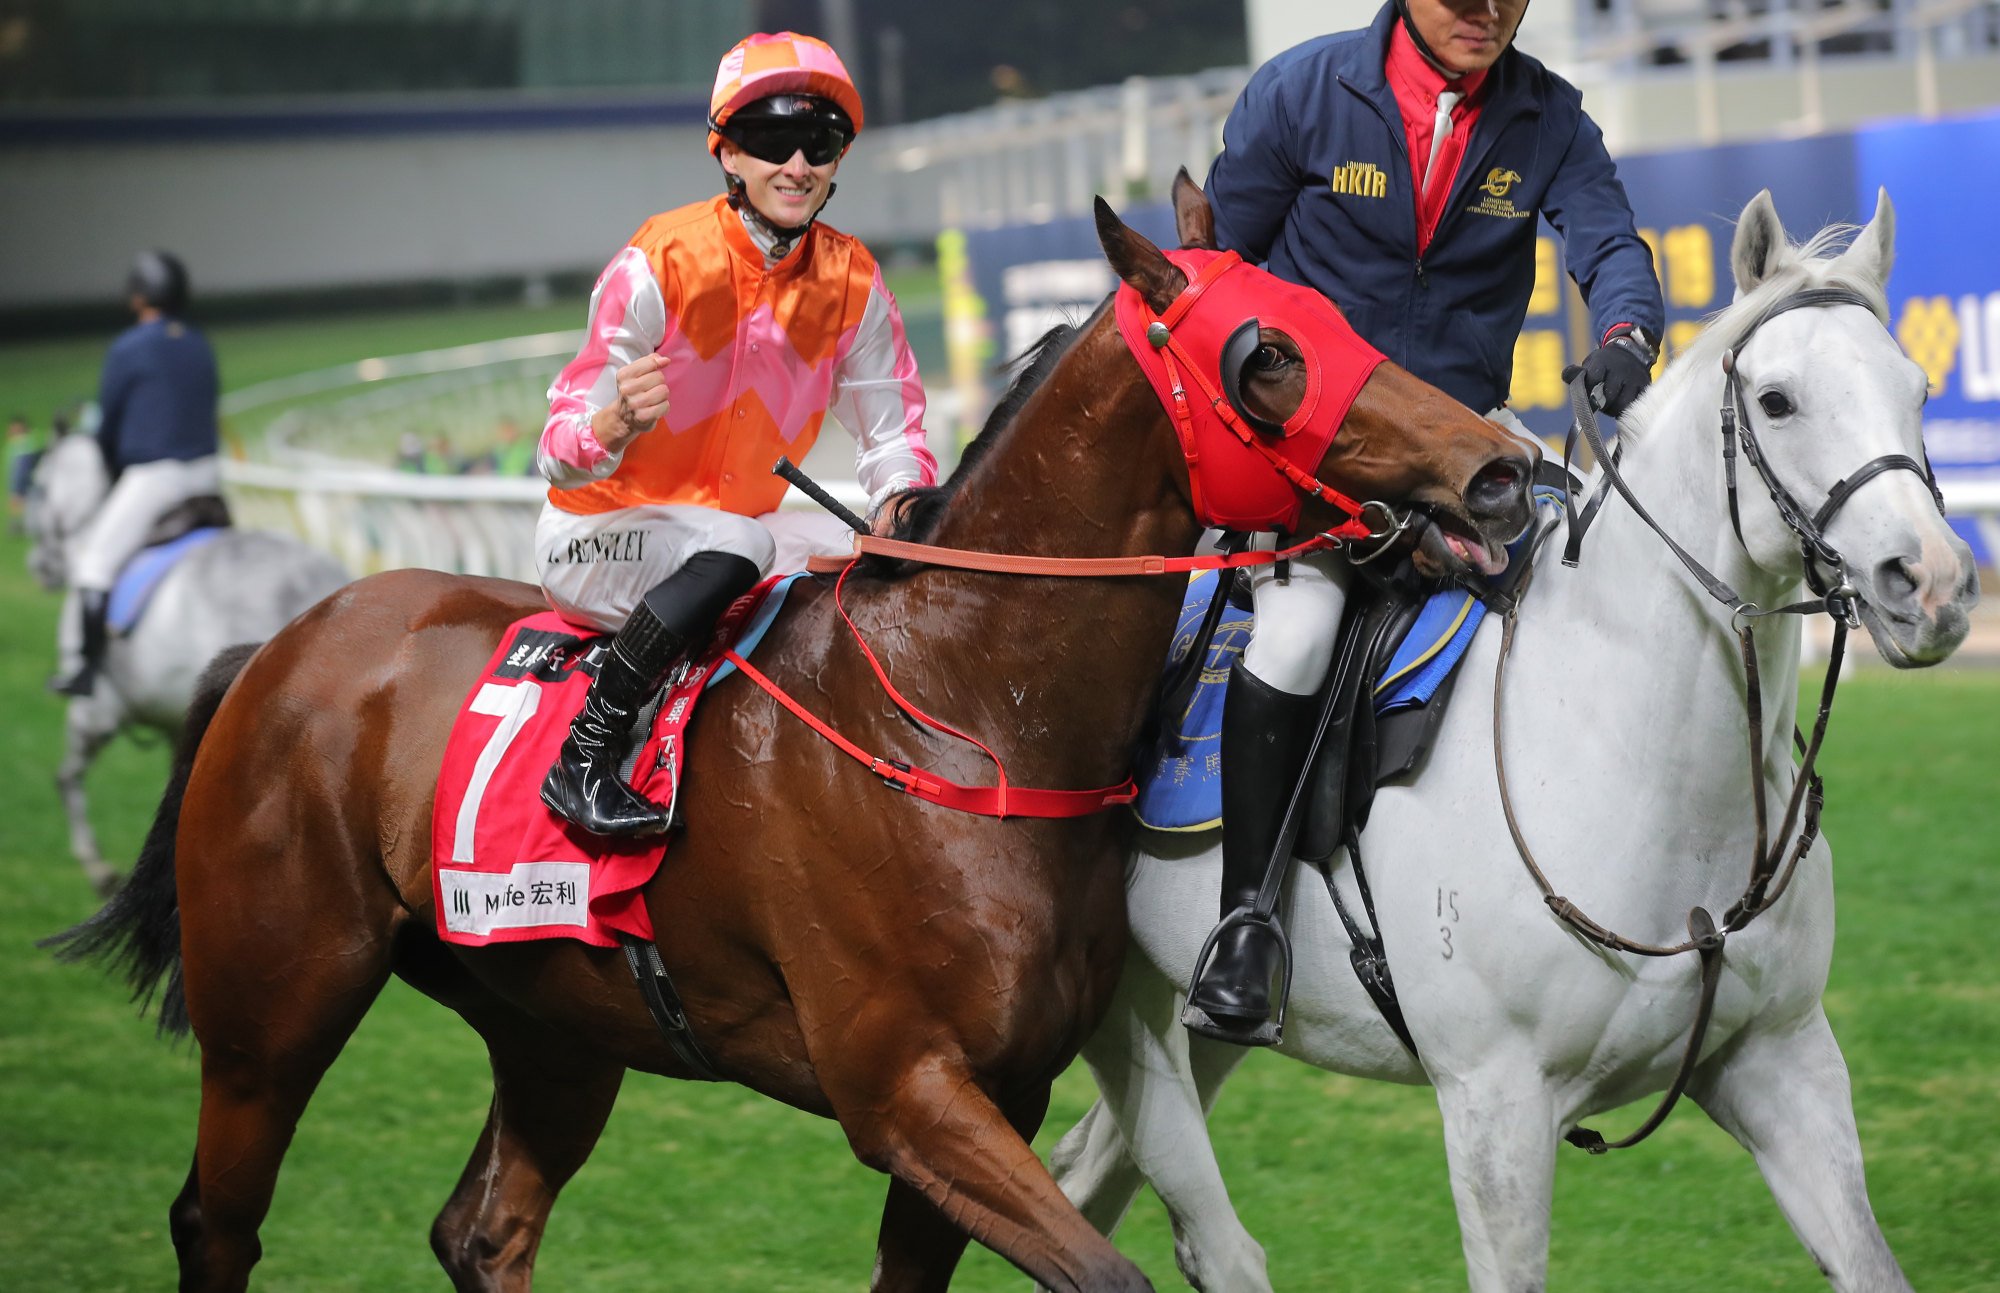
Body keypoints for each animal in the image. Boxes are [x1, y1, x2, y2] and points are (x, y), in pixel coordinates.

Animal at [58, 180, 1528, 1293]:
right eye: (1267, 356)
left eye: (1335, 318)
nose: (1498, 471)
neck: (968, 716)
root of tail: (287, 641)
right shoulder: (905, 1091)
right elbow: (1104, 1273)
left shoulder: (999, 1090)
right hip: (274, 1008)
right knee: (217, 1223)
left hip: (552, 1025)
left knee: (483, 1231)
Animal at [1056, 187, 1976, 1288]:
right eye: (1777, 400)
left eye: (1917, 388)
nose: (1928, 584)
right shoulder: (1495, 1110)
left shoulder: (1782, 1060)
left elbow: (1868, 1261)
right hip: (1128, 1018)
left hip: (1199, 1031)